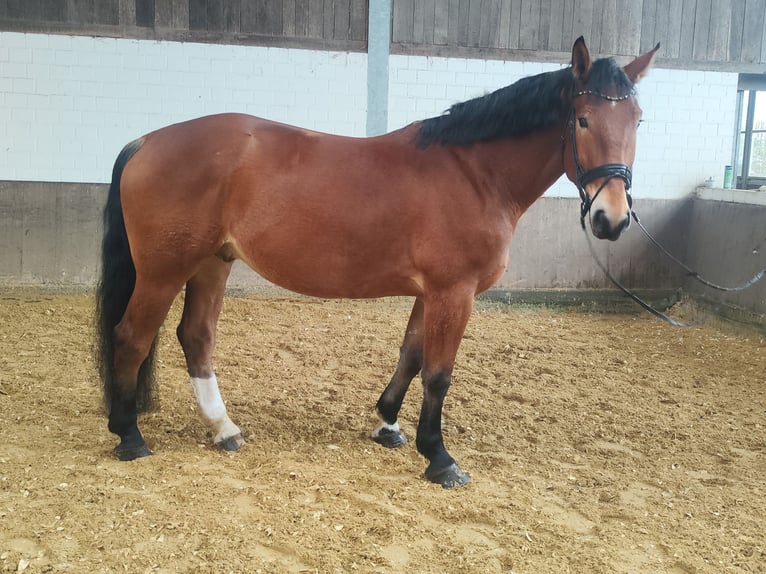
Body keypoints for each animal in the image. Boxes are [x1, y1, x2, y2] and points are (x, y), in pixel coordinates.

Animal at [96, 36, 660, 488]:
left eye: (637, 121)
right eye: (582, 120)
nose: (611, 218)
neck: (475, 172)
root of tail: (147, 141)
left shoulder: (431, 292)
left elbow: (410, 354)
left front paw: (388, 424)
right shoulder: (453, 291)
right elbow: (438, 372)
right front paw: (439, 458)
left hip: (213, 261)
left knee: (195, 337)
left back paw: (223, 429)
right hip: (164, 270)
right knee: (131, 337)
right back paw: (129, 435)